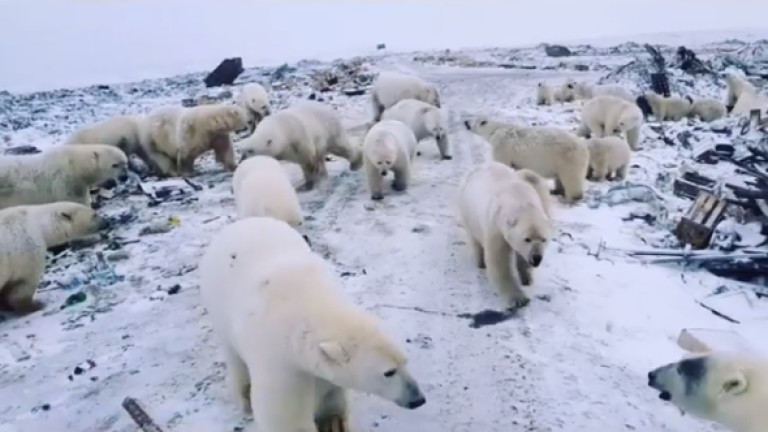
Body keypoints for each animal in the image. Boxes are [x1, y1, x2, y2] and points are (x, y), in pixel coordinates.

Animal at [198, 218, 426, 432]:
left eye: (405, 361)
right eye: (389, 372)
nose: (418, 399)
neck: (305, 300)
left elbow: (328, 385)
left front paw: (333, 422)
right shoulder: (277, 356)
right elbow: (285, 415)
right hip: (218, 307)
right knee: (233, 355)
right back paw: (244, 396)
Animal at [456, 160, 552, 308]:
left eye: (544, 239)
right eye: (527, 239)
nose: (536, 258)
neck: (519, 198)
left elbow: (521, 256)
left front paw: (527, 279)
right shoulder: (496, 226)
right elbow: (499, 261)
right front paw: (519, 299)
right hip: (469, 214)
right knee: (474, 239)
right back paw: (480, 263)